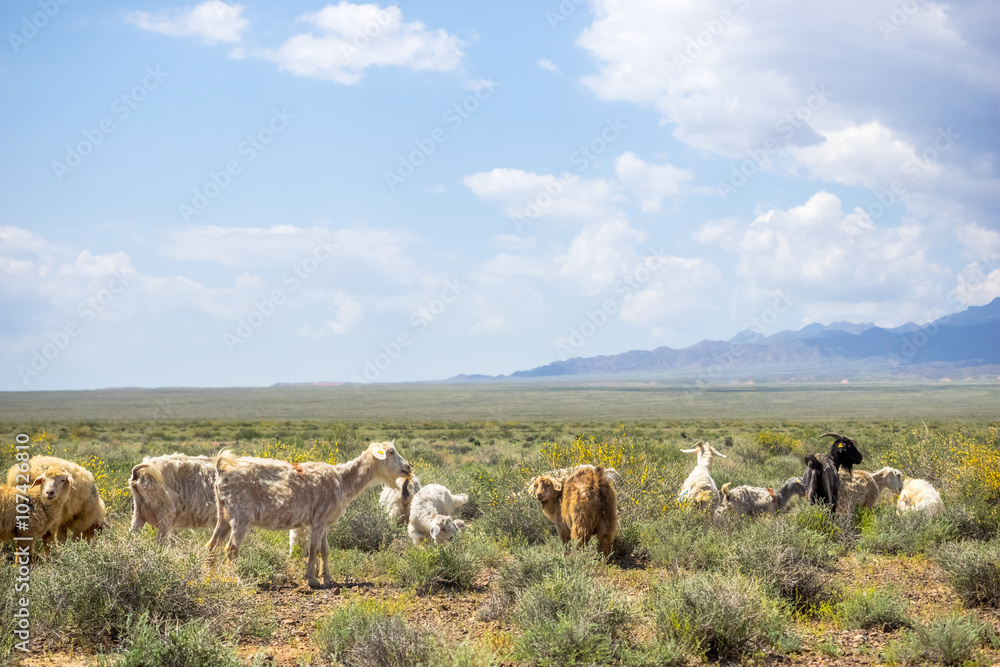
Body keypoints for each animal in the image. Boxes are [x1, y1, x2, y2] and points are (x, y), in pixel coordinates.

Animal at [209, 440, 412, 588]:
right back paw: (234, 579)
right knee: (231, 549)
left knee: (212, 545)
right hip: (240, 517)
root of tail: (222, 470)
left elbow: (325, 549)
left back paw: (209, 577)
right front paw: (312, 579)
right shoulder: (319, 519)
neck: (342, 480)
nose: (409, 467)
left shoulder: (324, 522)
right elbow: (314, 548)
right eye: (391, 452)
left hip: (223, 514)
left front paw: (328, 578)